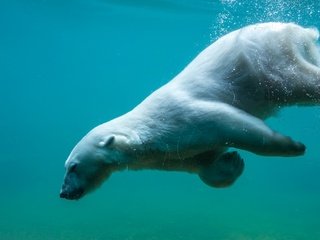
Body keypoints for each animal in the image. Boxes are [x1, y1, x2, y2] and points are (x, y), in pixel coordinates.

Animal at [60, 22, 320, 200]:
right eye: (67, 167)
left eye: (74, 166)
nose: (63, 192)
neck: (146, 130)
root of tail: (298, 30)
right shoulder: (174, 154)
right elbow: (205, 164)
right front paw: (233, 162)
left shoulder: (182, 119)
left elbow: (234, 124)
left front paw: (293, 146)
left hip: (266, 62)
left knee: (297, 82)